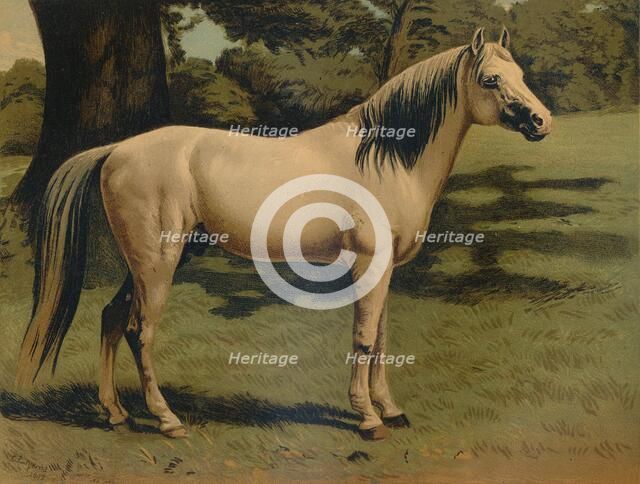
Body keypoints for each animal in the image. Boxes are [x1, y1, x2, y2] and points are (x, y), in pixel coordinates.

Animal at [16, 28, 551, 440]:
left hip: (154, 262)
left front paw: (392, 410)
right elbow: (363, 339)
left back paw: (116, 414)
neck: (383, 159)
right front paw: (368, 419)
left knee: (110, 318)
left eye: (522, 76)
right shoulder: (368, 263)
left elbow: (381, 339)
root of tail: (116, 150)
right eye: (490, 79)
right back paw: (167, 421)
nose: (541, 121)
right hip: (157, 263)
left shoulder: (385, 270)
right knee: (138, 331)